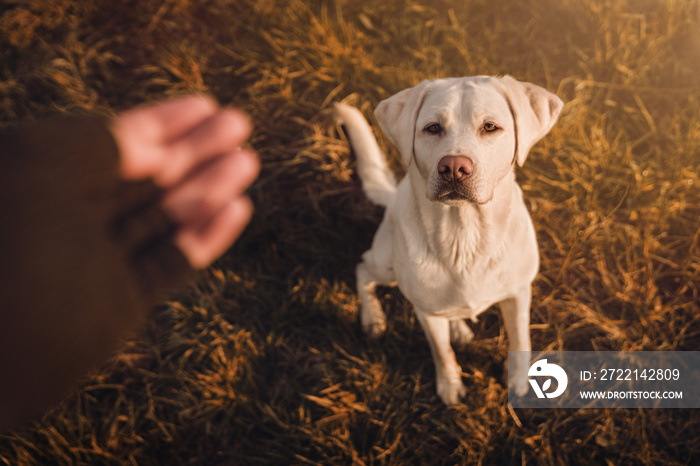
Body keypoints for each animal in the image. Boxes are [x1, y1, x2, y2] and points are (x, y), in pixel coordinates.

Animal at [334, 75, 564, 404]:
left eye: (490, 127)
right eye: (432, 128)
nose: (454, 167)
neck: (465, 234)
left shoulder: (518, 293)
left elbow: (521, 338)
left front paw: (519, 381)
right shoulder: (427, 313)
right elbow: (441, 351)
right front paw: (450, 386)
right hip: (386, 265)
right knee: (362, 268)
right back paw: (373, 318)